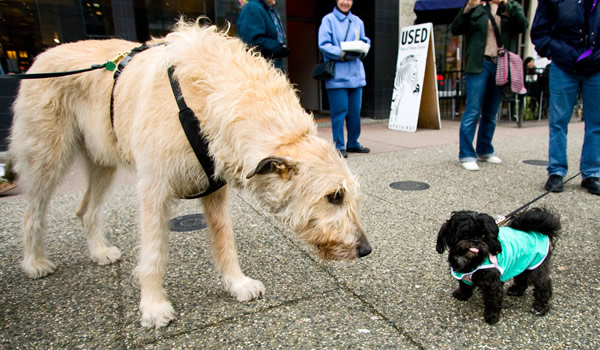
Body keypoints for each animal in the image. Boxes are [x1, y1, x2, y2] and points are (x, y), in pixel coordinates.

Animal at [9, 20, 370, 328]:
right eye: (334, 197)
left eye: (349, 197)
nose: (366, 250)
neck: (205, 96)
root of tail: (41, 55)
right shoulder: (154, 189)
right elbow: (153, 251)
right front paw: (153, 306)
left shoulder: (215, 189)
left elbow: (225, 239)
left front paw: (237, 283)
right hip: (46, 156)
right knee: (32, 211)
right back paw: (34, 262)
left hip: (102, 160)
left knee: (85, 209)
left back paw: (98, 252)